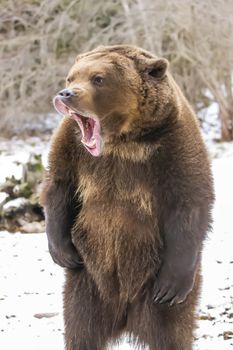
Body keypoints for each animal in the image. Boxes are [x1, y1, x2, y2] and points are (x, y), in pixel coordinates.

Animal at [39, 44, 213, 350]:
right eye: (71, 77)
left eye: (98, 78)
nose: (66, 94)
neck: (122, 141)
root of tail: (125, 315)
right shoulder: (73, 147)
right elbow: (59, 185)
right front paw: (62, 252)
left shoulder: (173, 144)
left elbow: (189, 201)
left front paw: (171, 285)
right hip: (87, 283)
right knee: (80, 327)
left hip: (152, 281)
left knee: (170, 331)